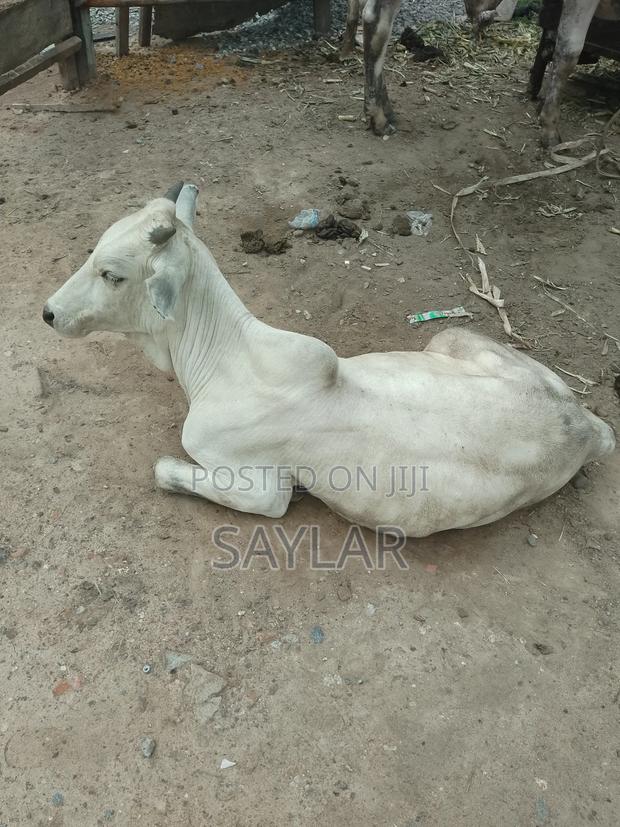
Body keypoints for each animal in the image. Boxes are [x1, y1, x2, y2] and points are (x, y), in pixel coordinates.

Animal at [42, 184, 615, 538]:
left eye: (112, 274)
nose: (49, 312)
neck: (226, 360)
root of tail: (586, 426)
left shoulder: (259, 485)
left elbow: (168, 471)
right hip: (452, 337)